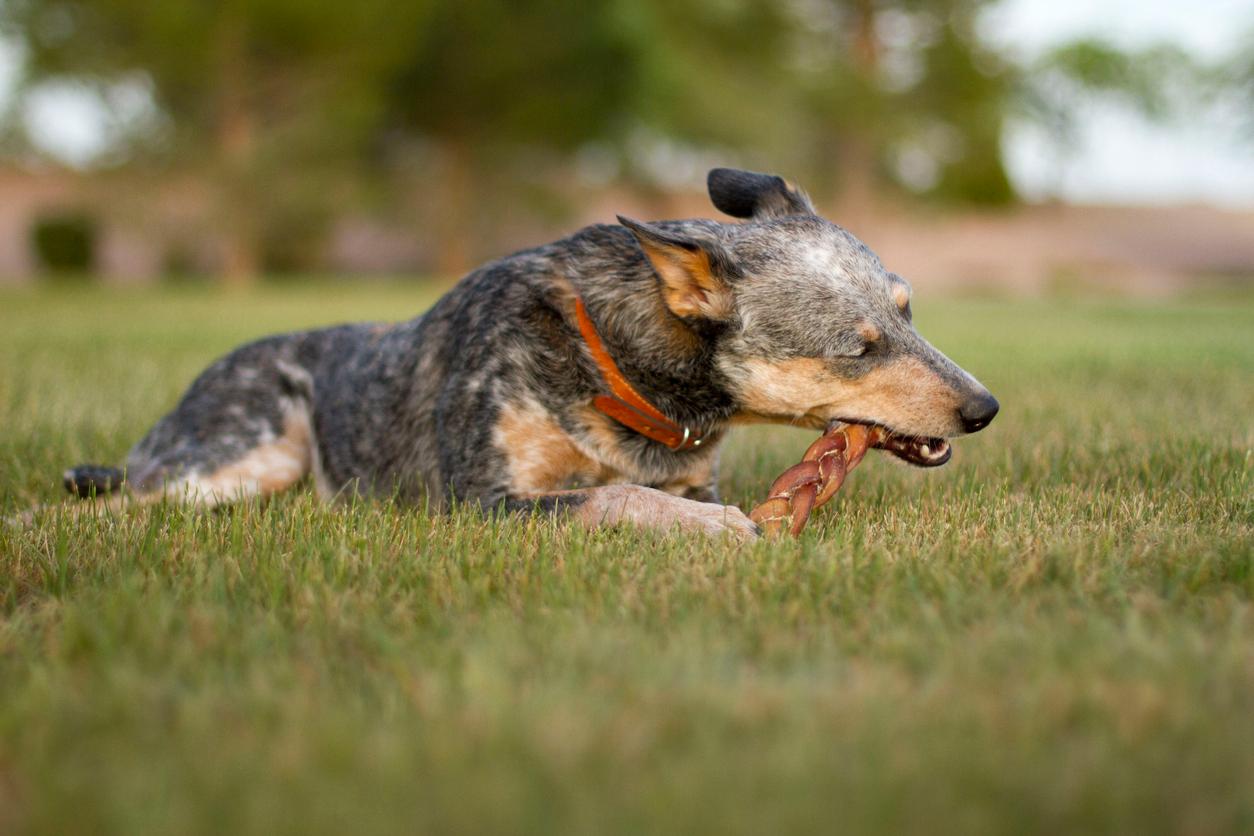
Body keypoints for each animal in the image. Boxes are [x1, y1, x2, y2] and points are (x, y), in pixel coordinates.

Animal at [56, 166, 998, 538]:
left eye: (909, 312)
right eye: (858, 347)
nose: (986, 407)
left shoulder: (692, 470)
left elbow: (644, 491)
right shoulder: (485, 500)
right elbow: (615, 497)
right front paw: (710, 528)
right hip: (242, 458)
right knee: (117, 499)